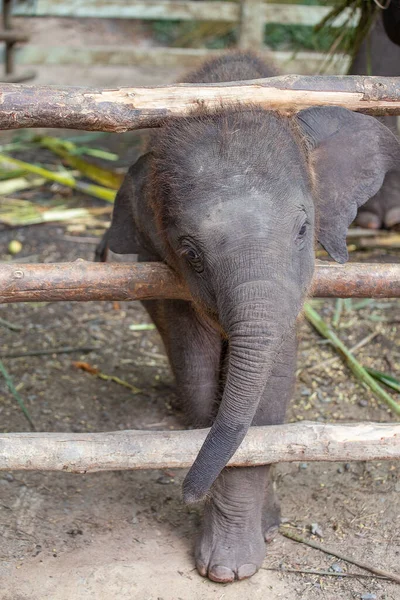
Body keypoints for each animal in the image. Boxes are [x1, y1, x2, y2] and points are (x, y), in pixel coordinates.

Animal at [101, 54, 400, 584]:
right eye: (191, 254)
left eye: (303, 230)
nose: (188, 492)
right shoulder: (172, 283)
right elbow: (200, 382)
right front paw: (225, 564)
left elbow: (270, 397)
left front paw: (236, 564)